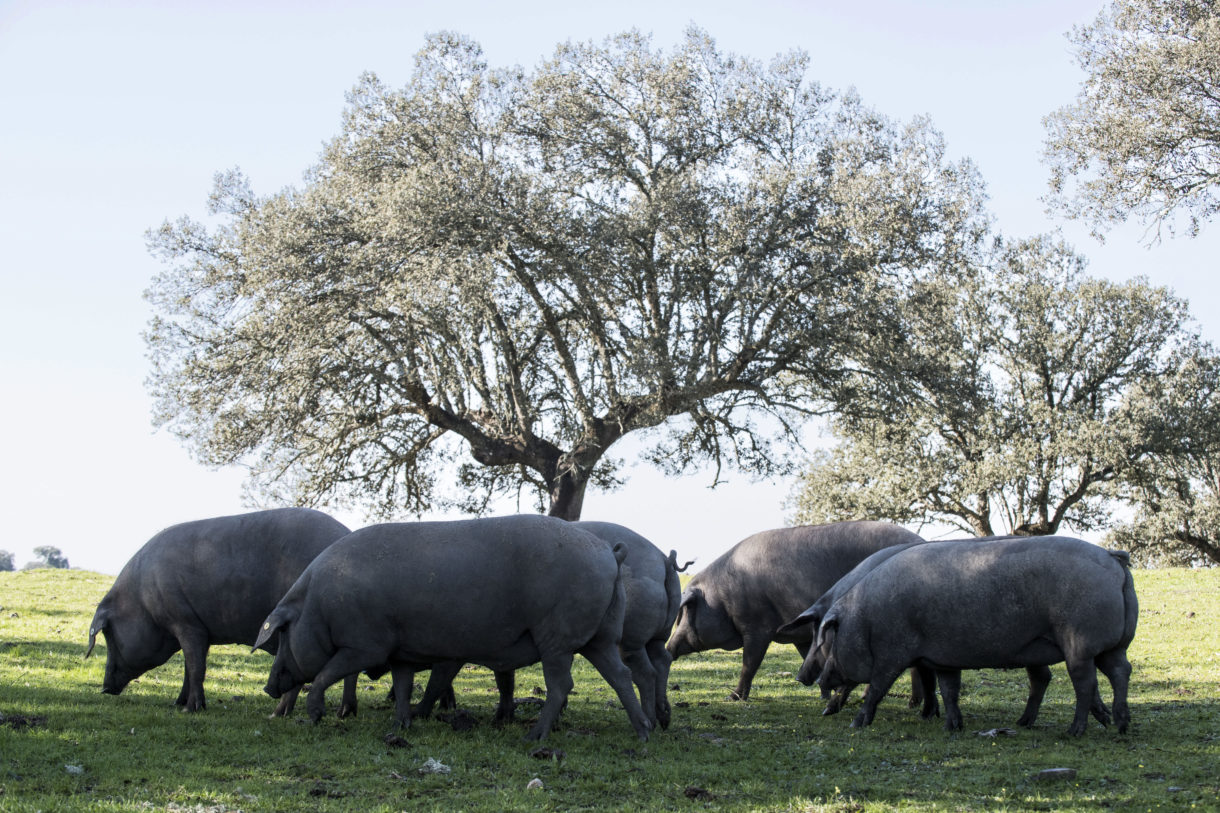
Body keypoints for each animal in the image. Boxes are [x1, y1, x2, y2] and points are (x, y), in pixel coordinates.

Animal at [82, 510, 353, 712]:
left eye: (109, 635)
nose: (104, 688)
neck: (141, 601)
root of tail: (345, 534)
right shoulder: (200, 630)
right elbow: (189, 668)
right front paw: (177, 703)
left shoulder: (186, 622)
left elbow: (195, 668)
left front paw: (190, 709)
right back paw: (343, 713)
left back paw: (280, 713)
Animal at [254, 515, 658, 737]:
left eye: (282, 633)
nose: (268, 687)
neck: (317, 606)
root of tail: (609, 553)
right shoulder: (401, 651)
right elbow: (403, 685)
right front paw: (402, 726)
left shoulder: (365, 644)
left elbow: (326, 673)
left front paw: (314, 716)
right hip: (602, 635)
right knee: (621, 675)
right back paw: (643, 733)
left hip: (557, 637)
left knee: (562, 685)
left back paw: (534, 738)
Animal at [663, 522, 917, 698]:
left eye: (685, 611)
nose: (668, 647)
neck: (721, 598)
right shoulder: (801, 635)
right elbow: (810, 657)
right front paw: (824, 695)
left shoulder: (757, 626)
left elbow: (749, 663)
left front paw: (733, 697)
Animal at [810, 534, 1132, 732]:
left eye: (829, 643)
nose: (816, 680)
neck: (864, 620)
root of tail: (1111, 557)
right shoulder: (942, 657)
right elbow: (949, 690)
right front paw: (952, 727)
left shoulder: (892, 652)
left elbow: (877, 687)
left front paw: (856, 724)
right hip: (1111, 646)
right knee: (1119, 671)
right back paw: (1119, 724)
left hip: (1080, 643)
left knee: (1084, 683)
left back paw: (1074, 731)